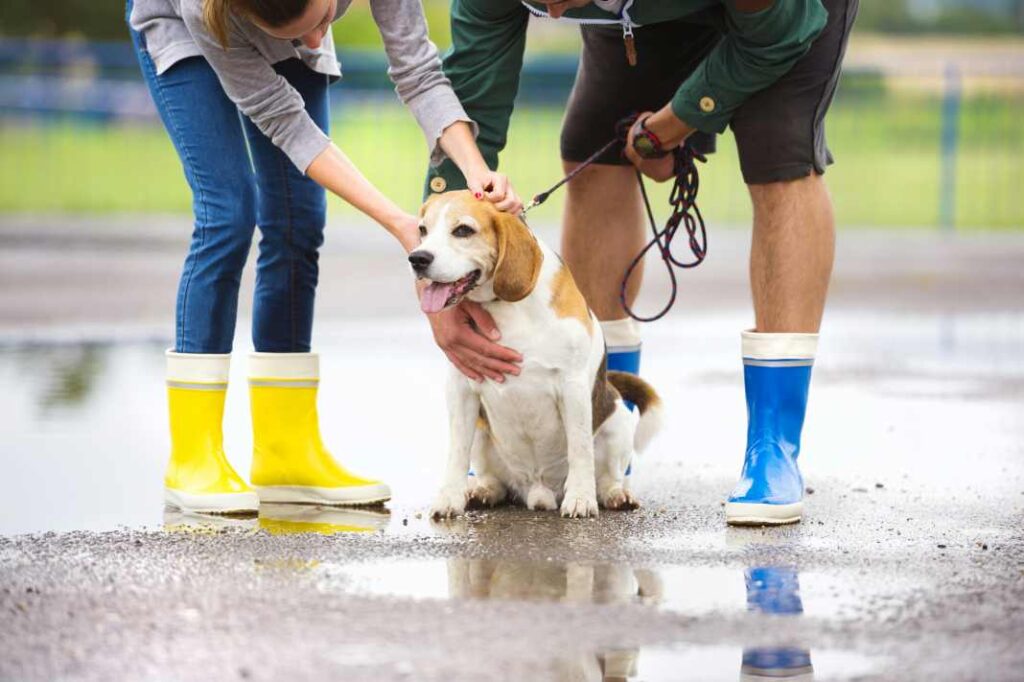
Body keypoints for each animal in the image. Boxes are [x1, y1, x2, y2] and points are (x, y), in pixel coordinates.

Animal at [411, 188, 659, 518]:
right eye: (422, 230)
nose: (417, 258)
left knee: (608, 476)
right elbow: (456, 454)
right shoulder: (461, 389)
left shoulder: (573, 387)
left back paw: (614, 494)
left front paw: (580, 498)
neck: (507, 308)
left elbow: (580, 449)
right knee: (494, 479)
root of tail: (537, 491)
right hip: (481, 430)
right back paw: (482, 490)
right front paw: (450, 497)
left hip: (617, 421)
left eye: (463, 230)